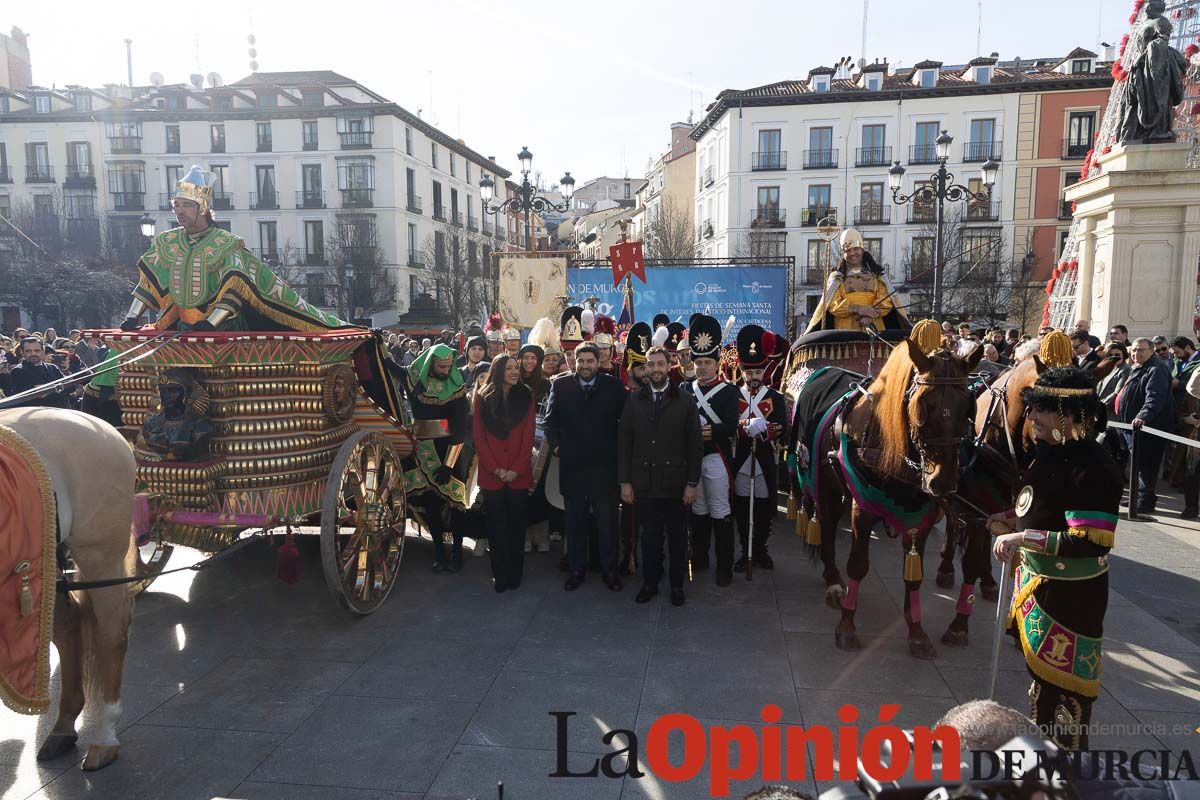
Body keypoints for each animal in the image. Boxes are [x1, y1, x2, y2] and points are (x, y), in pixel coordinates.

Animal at [0, 410, 136, 772]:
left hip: (98, 553)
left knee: (110, 632)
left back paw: (105, 735)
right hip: (45, 567)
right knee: (68, 625)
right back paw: (62, 727)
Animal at [792, 338, 979, 657]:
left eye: (969, 407)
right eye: (922, 405)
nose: (942, 481)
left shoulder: (920, 516)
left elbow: (913, 575)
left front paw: (916, 631)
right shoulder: (863, 508)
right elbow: (858, 564)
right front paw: (846, 627)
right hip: (823, 482)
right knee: (827, 525)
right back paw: (833, 580)